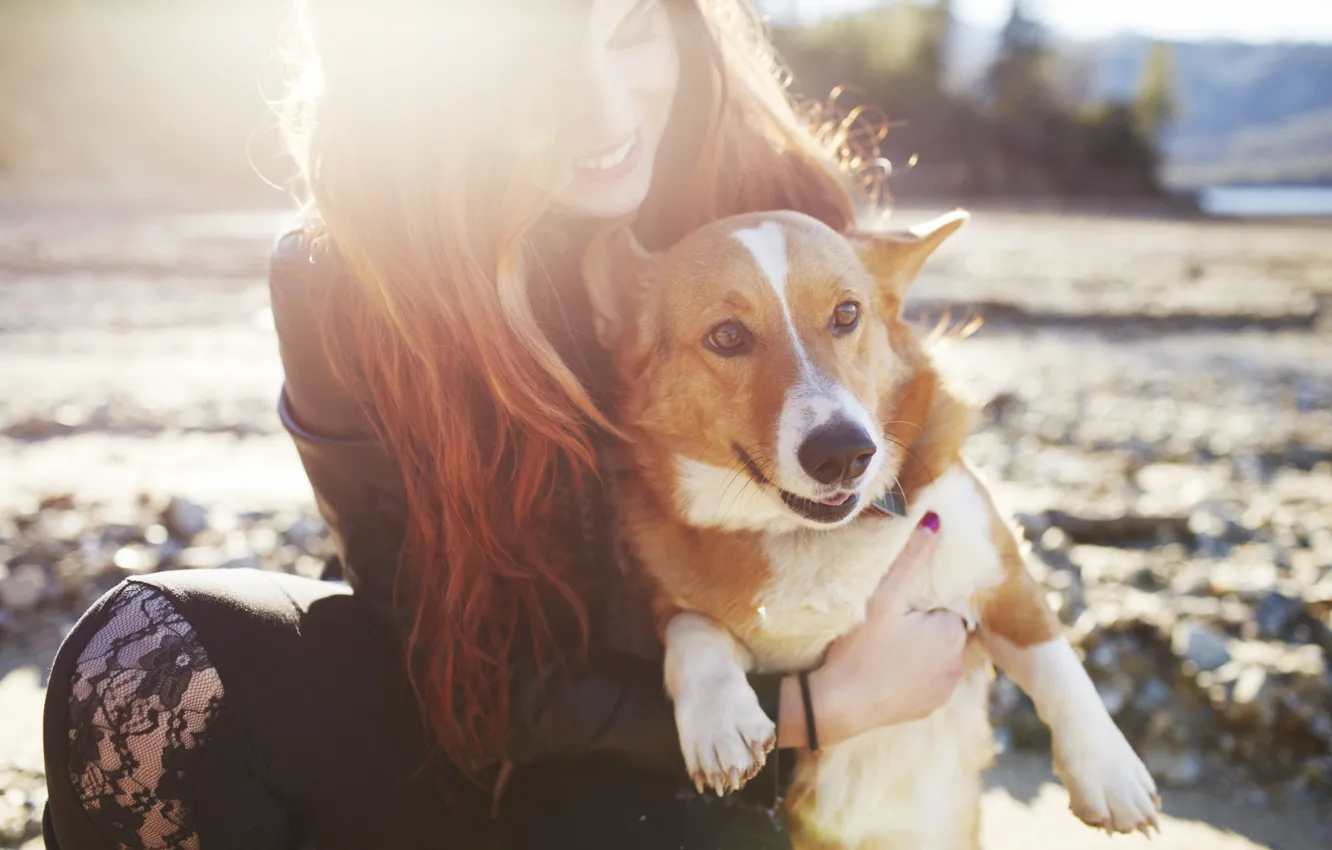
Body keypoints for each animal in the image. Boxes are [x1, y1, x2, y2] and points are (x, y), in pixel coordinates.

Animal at [580, 207, 1156, 850]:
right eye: (727, 336)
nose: (843, 453)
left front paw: (1109, 773)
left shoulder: (999, 572)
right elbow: (692, 632)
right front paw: (719, 719)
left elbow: (1056, 660)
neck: (811, 535)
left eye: (847, 314)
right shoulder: (665, 603)